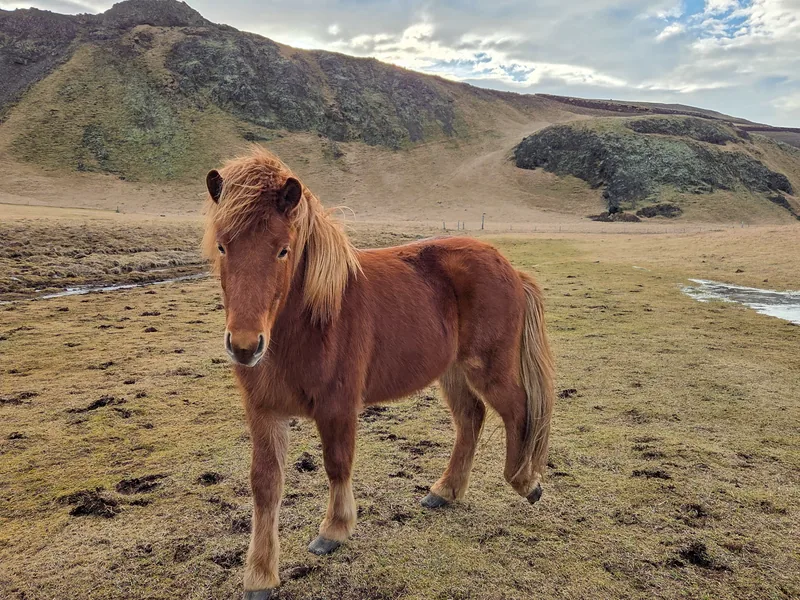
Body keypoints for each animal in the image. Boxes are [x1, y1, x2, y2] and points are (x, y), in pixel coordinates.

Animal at [202, 147, 555, 600]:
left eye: (283, 250)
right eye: (223, 246)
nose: (245, 346)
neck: (308, 322)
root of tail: (510, 268)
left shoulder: (337, 406)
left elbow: (337, 464)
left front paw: (334, 531)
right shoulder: (263, 412)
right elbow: (265, 485)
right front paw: (260, 575)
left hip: (487, 368)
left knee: (518, 410)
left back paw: (525, 481)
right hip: (453, 372)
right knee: (471, 418)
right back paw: (444, 491)